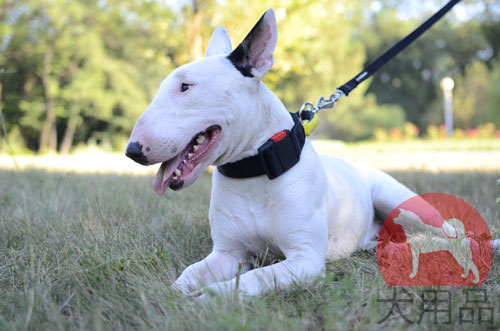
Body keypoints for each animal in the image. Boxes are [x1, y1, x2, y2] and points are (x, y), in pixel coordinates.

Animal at [125, 9, 496, 298]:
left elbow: (252, 279)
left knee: (454, 235)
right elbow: (190, 274)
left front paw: (209, 299)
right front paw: (173, 296)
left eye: (186, 87)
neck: (255, 172)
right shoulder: (229, 253)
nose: (132, 151)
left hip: (405, 202)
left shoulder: (303, 260)